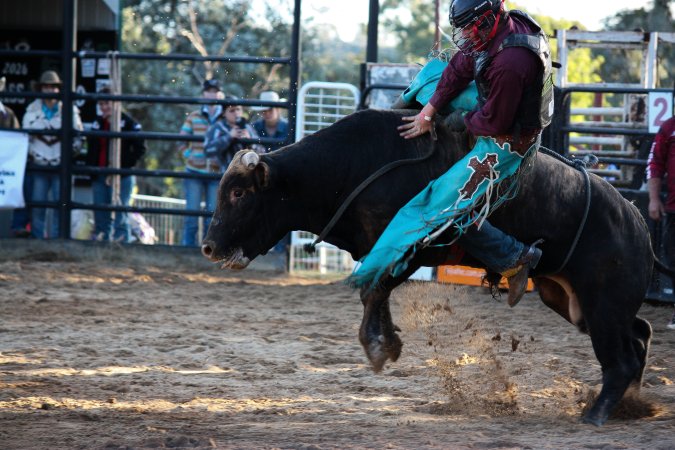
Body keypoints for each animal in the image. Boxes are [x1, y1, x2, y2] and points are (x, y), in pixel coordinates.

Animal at [201, 108, 658, 426]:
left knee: (621, 359)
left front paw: (379, 345)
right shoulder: (385, 250)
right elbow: (376, 293)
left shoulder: (414, 247)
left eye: (239, 193)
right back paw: (631, 404)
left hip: (603, 304)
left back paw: (597, 413)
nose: (208, 246)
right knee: (639, 336)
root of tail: (636, 221)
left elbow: (374, 291)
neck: (357, 164)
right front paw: (388, 341)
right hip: (573, 301)